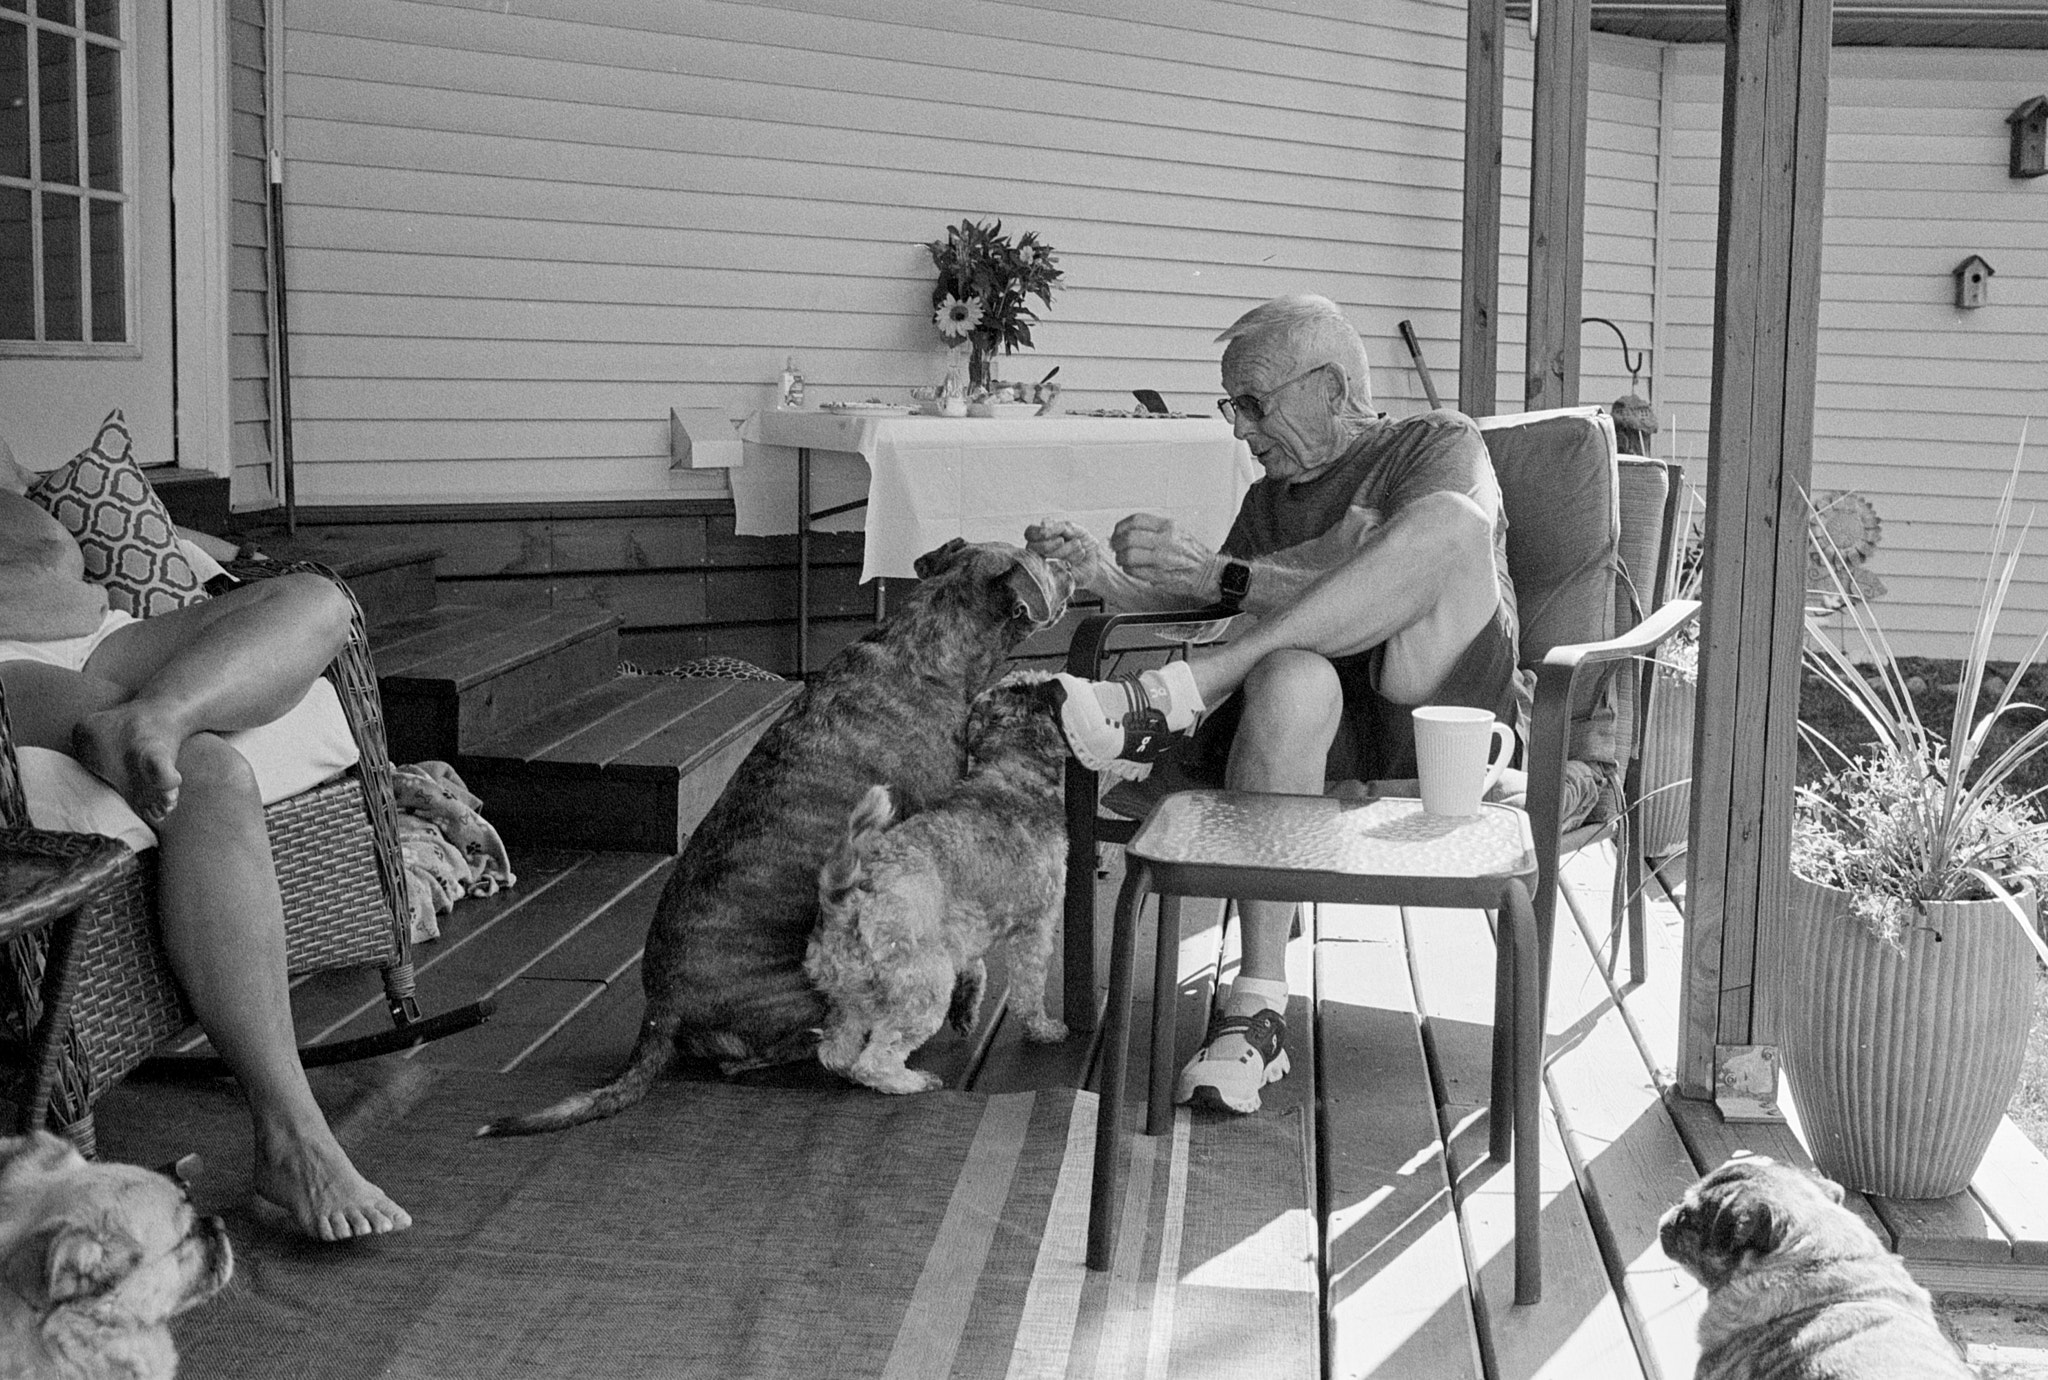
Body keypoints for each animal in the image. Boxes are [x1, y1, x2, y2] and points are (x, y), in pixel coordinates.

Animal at [802, 671, 1073, 1089]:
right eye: (1026, 686)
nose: (1060, 681)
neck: (1012, 771)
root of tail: (840, 901)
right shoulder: (1035, 926)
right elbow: (1029, 988)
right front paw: (1042, 1028)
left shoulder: (964, 925)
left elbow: (975, 964)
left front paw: (967, 1008)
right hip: (924, 985)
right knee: (875, 1059)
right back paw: (915, 1082)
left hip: (852, 997)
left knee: (836, 1051)